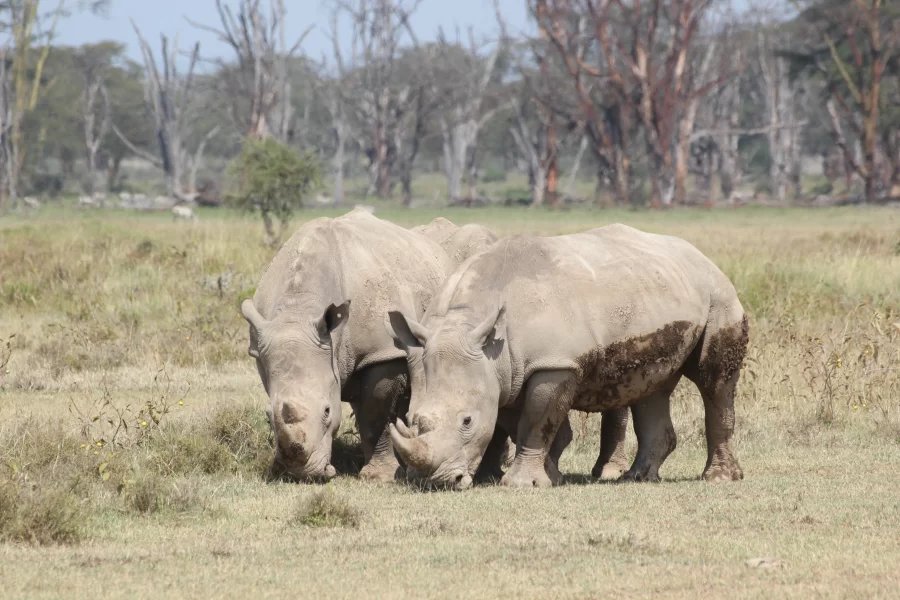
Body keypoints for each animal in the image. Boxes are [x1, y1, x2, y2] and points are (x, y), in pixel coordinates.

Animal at [239, 211, 450, 482]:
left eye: (328, 411)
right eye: (266, 417)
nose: (302, 474)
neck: (298, 309)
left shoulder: (381, 353)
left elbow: (376, 416)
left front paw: (378, 477)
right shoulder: (263, 349)